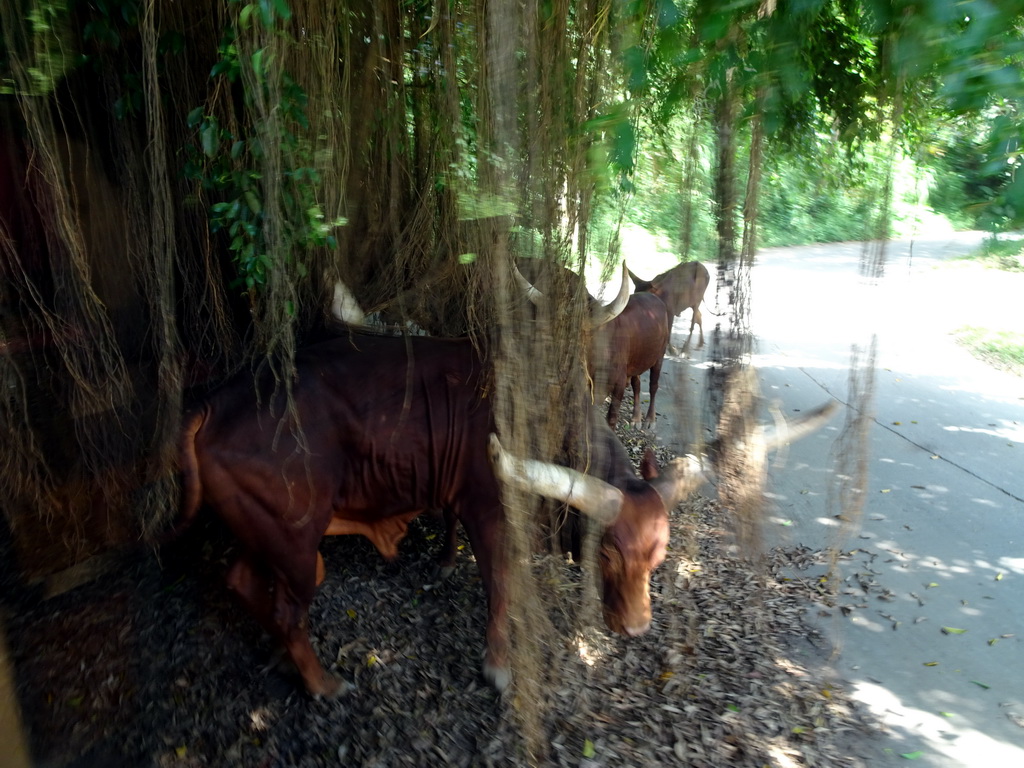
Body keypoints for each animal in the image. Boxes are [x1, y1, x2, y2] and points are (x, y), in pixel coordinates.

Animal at [174, 327, 712, 700]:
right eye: (607, 552)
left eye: (658, 557)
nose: (637, 627)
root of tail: (214, 403)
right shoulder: (490, 516)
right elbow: (500, 588)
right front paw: (498, 667)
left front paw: (448, 564)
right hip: (296, 543)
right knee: (289, 614)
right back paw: (323, 684)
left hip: (264, 534)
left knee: (242, 582)